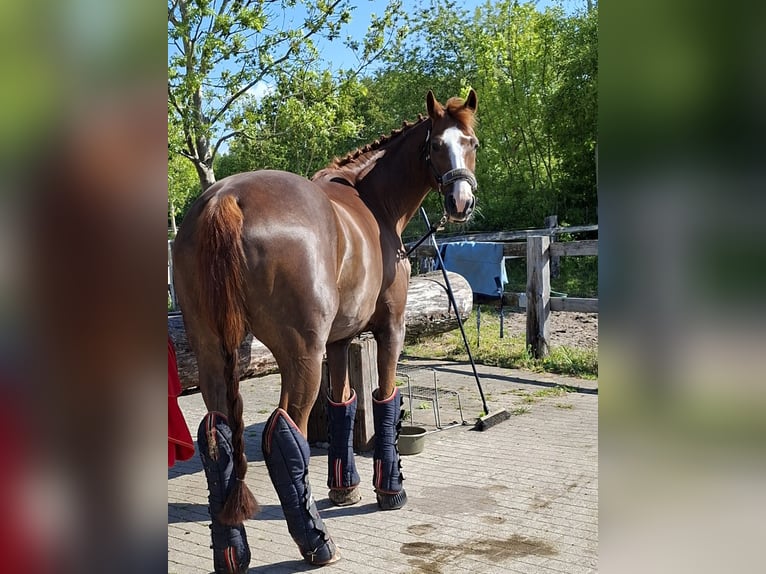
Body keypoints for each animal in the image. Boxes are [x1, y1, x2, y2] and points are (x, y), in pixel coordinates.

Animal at [172, 89, 479, 570]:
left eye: (473, 143)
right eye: (434, 145)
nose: (460, 201)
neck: (373, 202)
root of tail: (227, 199)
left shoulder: (340, 339)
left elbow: (343, 406)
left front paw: (343, 485)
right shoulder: (390, 327)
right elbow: (384, 399)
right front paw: (389, 488)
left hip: (213, 351)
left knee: (216, 434)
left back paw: (232, 552)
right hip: (300, 355)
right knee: (283, 432)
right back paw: (316, 541)